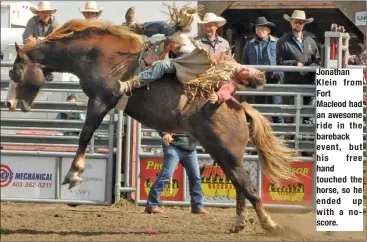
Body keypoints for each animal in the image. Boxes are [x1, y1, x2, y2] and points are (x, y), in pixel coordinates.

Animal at [5, 18, 298, 234]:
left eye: (15, 72)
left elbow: (85, 134)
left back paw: (269, 224)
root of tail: (240, 108)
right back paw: (239, 224)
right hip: (225, 156)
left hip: (228, 153)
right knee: (240, 187)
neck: (95, 53)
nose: (10, 103)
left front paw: (74, 174)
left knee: (249, 188)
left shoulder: (102, 100)